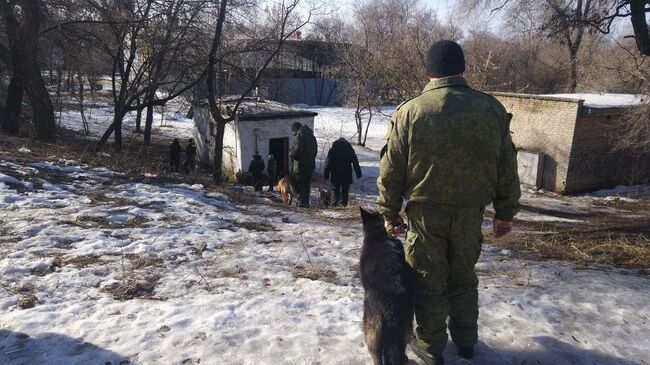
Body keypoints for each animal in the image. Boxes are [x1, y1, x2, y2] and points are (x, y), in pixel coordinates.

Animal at [356, 208, 412, 364]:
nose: (405, 225)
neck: (379, 233)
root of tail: (391, 305)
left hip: (371, 330)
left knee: (377, 356)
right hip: (406, 326)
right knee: (401, 348)